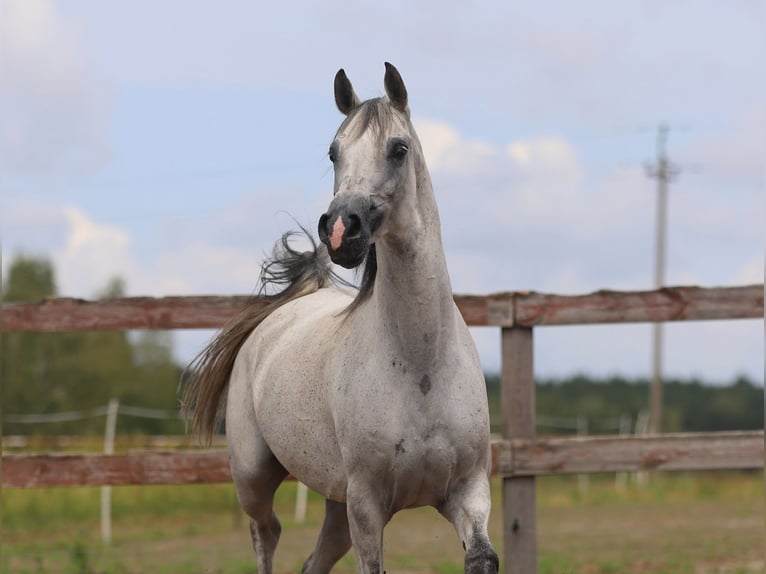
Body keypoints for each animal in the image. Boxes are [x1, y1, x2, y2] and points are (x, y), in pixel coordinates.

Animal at [184, 63, 500, 574]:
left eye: (398, 148)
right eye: (333, 152)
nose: (338, 229)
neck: (421, 366)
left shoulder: (469, 493)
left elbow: (482, 558)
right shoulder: (366, 506)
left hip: (334, 504)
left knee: (312, 562)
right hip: (255, 478)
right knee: (266, 534)